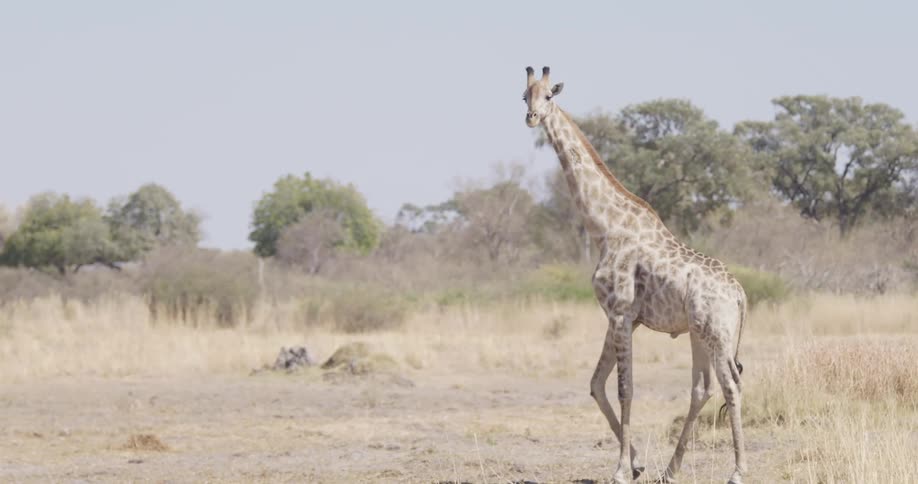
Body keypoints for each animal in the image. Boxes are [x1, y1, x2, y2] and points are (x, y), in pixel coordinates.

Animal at [522, 66, 748, 484]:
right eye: (523, 95)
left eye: (548, 96)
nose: (531, 117)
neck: (604, 226)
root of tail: (741, 294)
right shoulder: (619, 316)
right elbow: (596, 383)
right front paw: (638, 463)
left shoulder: (622, 313)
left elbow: (625, 388)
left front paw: (620, 470)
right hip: (698, 333)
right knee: (702, 388)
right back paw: (671, 470)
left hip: (717, 335)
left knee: (730, 385)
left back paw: (738, 471)